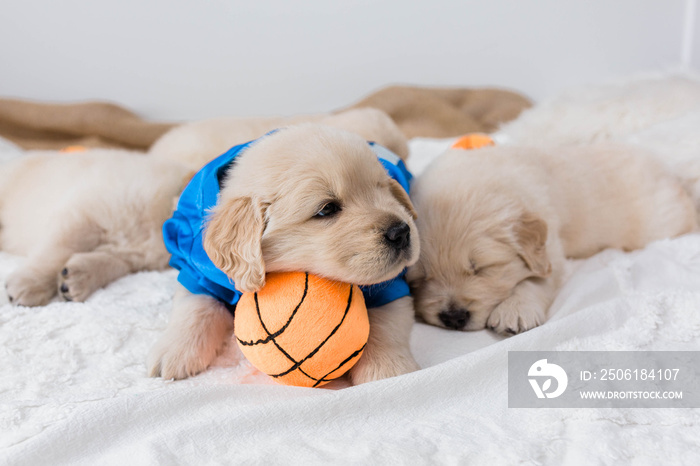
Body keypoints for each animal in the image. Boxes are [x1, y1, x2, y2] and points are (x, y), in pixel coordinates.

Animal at [0, 149, 191, 308]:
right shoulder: (84, 216)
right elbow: (57, 252)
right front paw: (29, 284)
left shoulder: (135, 259)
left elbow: (111, 264)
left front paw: (77, 279)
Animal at [148, 123, 422, 382]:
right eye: (327, 209)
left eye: (382, 188)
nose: (401, 232)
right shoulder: (197, 268)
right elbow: (195, 306)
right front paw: (174, 353)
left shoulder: (391, 285)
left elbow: (385, 322)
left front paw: (387, 369)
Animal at [408, 144, 696, 334]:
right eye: (420, 279)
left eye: (482, 269)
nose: (453, 317)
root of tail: (667, 172)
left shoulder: (551, 252)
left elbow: (535, 280)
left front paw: (516, 310)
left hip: (662, 222)